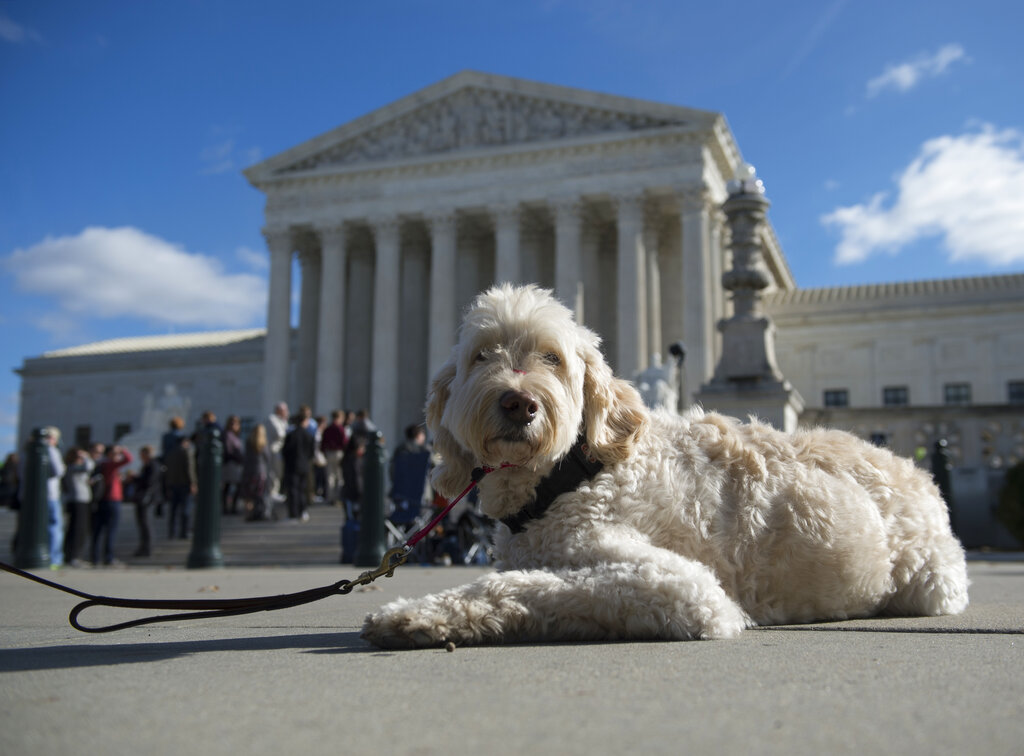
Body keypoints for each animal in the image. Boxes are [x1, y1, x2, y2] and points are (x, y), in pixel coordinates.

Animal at [362, 282, 966, 647]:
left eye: (552, 357)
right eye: (482, 355)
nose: (519, 403)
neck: (569, 475)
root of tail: (919, 472)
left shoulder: (685, 588)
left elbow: (537, 588)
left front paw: (409, 614)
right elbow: (522, 581)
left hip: (933, 584)